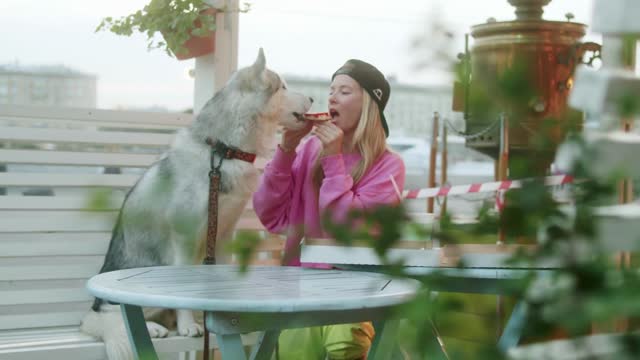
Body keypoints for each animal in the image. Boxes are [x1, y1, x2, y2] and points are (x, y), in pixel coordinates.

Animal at [81, 48, 314, 360]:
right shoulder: (184, 235)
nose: (312, 98)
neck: (224, 152)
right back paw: (155, 327)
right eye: (284, 87)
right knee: (112, 314)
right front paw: (188, 325)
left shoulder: (225, 233)